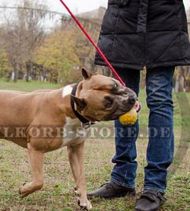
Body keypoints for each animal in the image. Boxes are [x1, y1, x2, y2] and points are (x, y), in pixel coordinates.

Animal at [0, 69, 137, 209]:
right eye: (108, 104)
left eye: (115, 84)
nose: (132, 98)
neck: (71, 106)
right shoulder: (35, 149)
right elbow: (39, 181)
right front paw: (24, 190)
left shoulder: (76, 149)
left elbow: (81, 177)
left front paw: (83, 200)